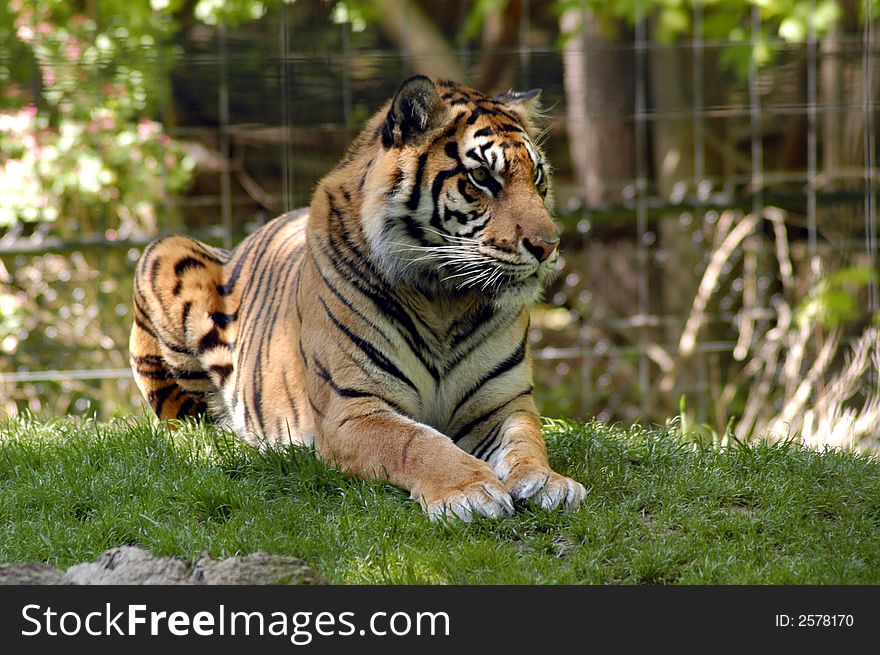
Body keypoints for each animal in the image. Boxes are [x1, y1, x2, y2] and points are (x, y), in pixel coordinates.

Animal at [129, 74, 584, 520]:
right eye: (483, 178)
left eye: (537, 178)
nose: (548, 246)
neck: (444, 300)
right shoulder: (352, 408)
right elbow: (418, 442)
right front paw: (468, 490)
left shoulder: (504, 403)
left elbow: (526, 442)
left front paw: (549, 483)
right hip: (164, 255)